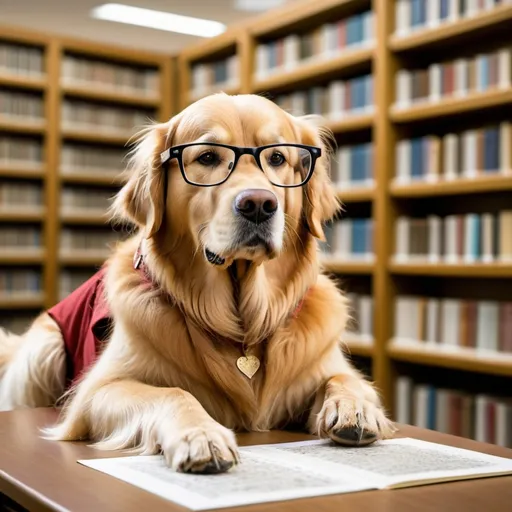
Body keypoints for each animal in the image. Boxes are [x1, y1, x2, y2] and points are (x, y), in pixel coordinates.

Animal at [0, 94, 396, 474]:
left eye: (277, 157)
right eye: (207, 157)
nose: (258, 204)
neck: (242, 327)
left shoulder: (325, 365)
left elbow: (347, 380)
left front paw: (356, 408)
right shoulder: (96, 392)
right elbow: (174, 392)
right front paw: (201, 436)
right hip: (46, 349)